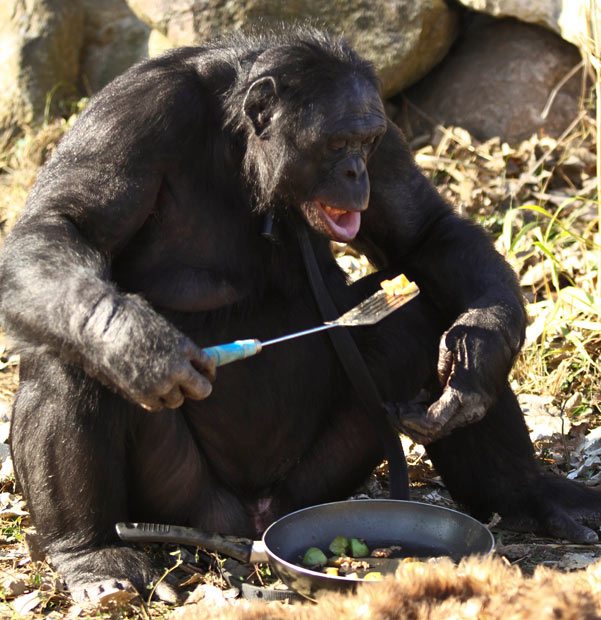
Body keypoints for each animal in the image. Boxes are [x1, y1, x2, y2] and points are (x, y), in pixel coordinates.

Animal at [1, 29, 600, 600]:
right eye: (337, 143)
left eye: (365, 141)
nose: (356, 171)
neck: (238, 147)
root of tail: (253, 525)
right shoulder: (134, 113)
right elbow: (62, 225)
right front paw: (138, 348)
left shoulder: (388, 137)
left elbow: (425, 233)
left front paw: (483, 346)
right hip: (185, 498)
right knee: (67, 357)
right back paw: (91, 553)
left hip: (320, 482)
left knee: (428, 312)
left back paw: (528, 492)